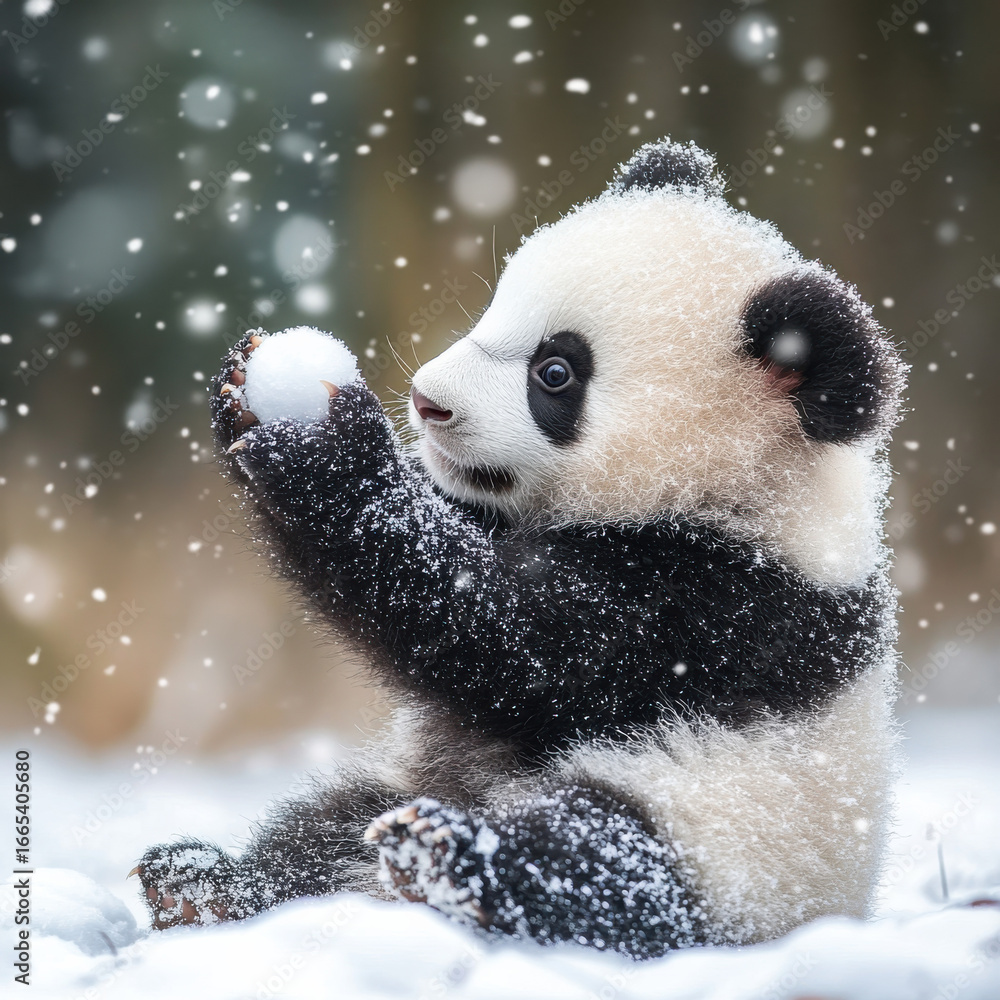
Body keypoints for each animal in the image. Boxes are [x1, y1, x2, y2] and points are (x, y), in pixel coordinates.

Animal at [134, 137, 905, 959]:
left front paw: (327, 449)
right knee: (323, 829)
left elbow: (513, 641)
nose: (426, 401)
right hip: (420, 778)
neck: (757, 486)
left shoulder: (716, 604)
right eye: (494, 306)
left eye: (554, 372)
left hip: (733, 832)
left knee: (597, 859)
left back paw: (445, 857)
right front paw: (243, 392)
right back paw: (205, 883)